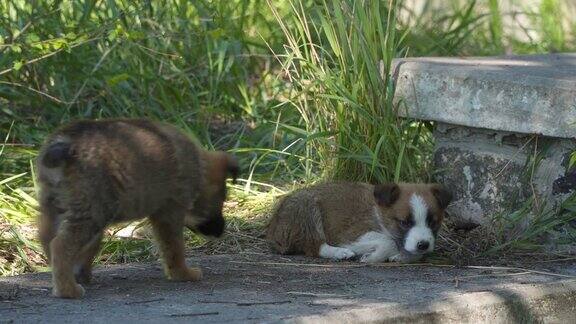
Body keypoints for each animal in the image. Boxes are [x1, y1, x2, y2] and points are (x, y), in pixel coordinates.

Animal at [37, 119, 238, 298]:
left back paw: (63, 279)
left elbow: (90, 249)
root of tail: (65, 142)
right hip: (94, 211)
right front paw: (183, 274)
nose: (221, 232)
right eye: (220, 201)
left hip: (58, 206)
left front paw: (83, 273)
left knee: (47, 238)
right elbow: (174, 249)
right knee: (59, 246)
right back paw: (68, 290)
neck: (198, 167)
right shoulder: (168, 213)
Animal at [266, 182, 450, 264]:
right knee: (315, 246)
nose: (423, 244)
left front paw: (401, 256)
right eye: (404, 222)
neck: (379, 214)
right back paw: (340, 253)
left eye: (433, 222)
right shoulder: (350, 234)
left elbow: (416, 253)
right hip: (307, 208)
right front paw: (372, 257)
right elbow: (388, 241)